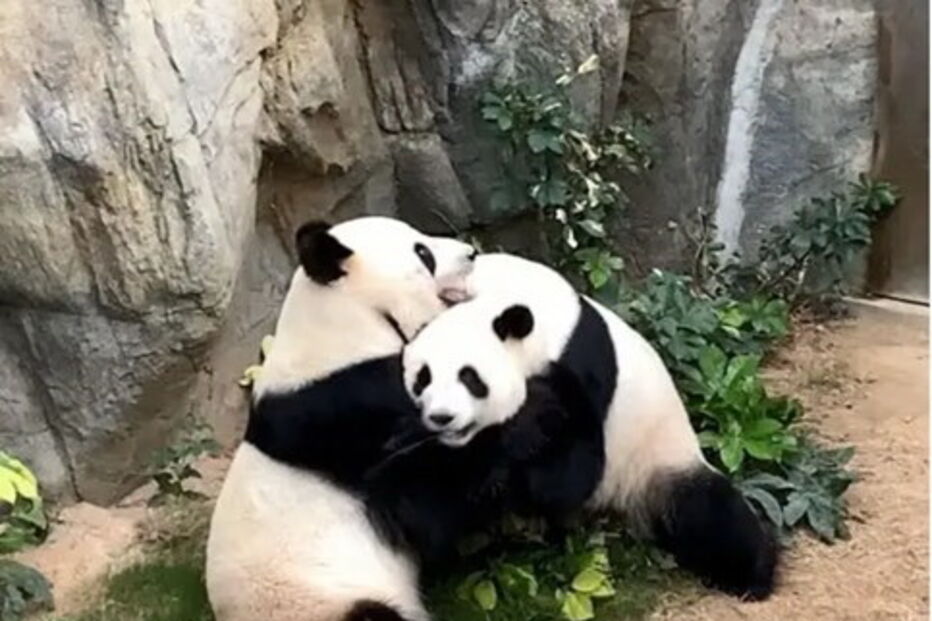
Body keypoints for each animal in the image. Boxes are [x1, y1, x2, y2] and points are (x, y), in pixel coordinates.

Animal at [399, 252, 778, 600]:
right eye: (423, 378)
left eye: (469, 378)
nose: (442, 417)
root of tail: (619, 509)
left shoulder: (581, 366)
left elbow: (570, 473)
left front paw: (519, 435)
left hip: (657, 460)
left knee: (710, 514)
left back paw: (751, 579)